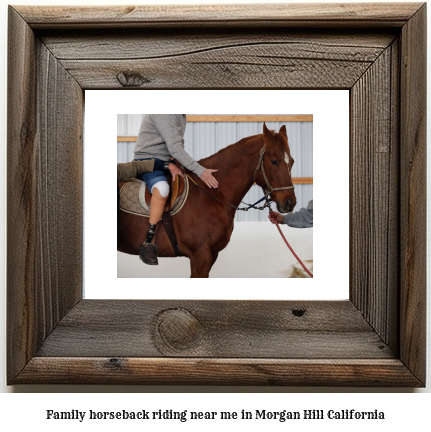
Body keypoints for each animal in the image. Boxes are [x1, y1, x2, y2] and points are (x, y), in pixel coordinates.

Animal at [120, 122, 298, 276]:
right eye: (274, 161)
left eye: (292, 162)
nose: (290, 202)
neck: (211, 195)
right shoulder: (200, 256)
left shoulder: (211, 256)